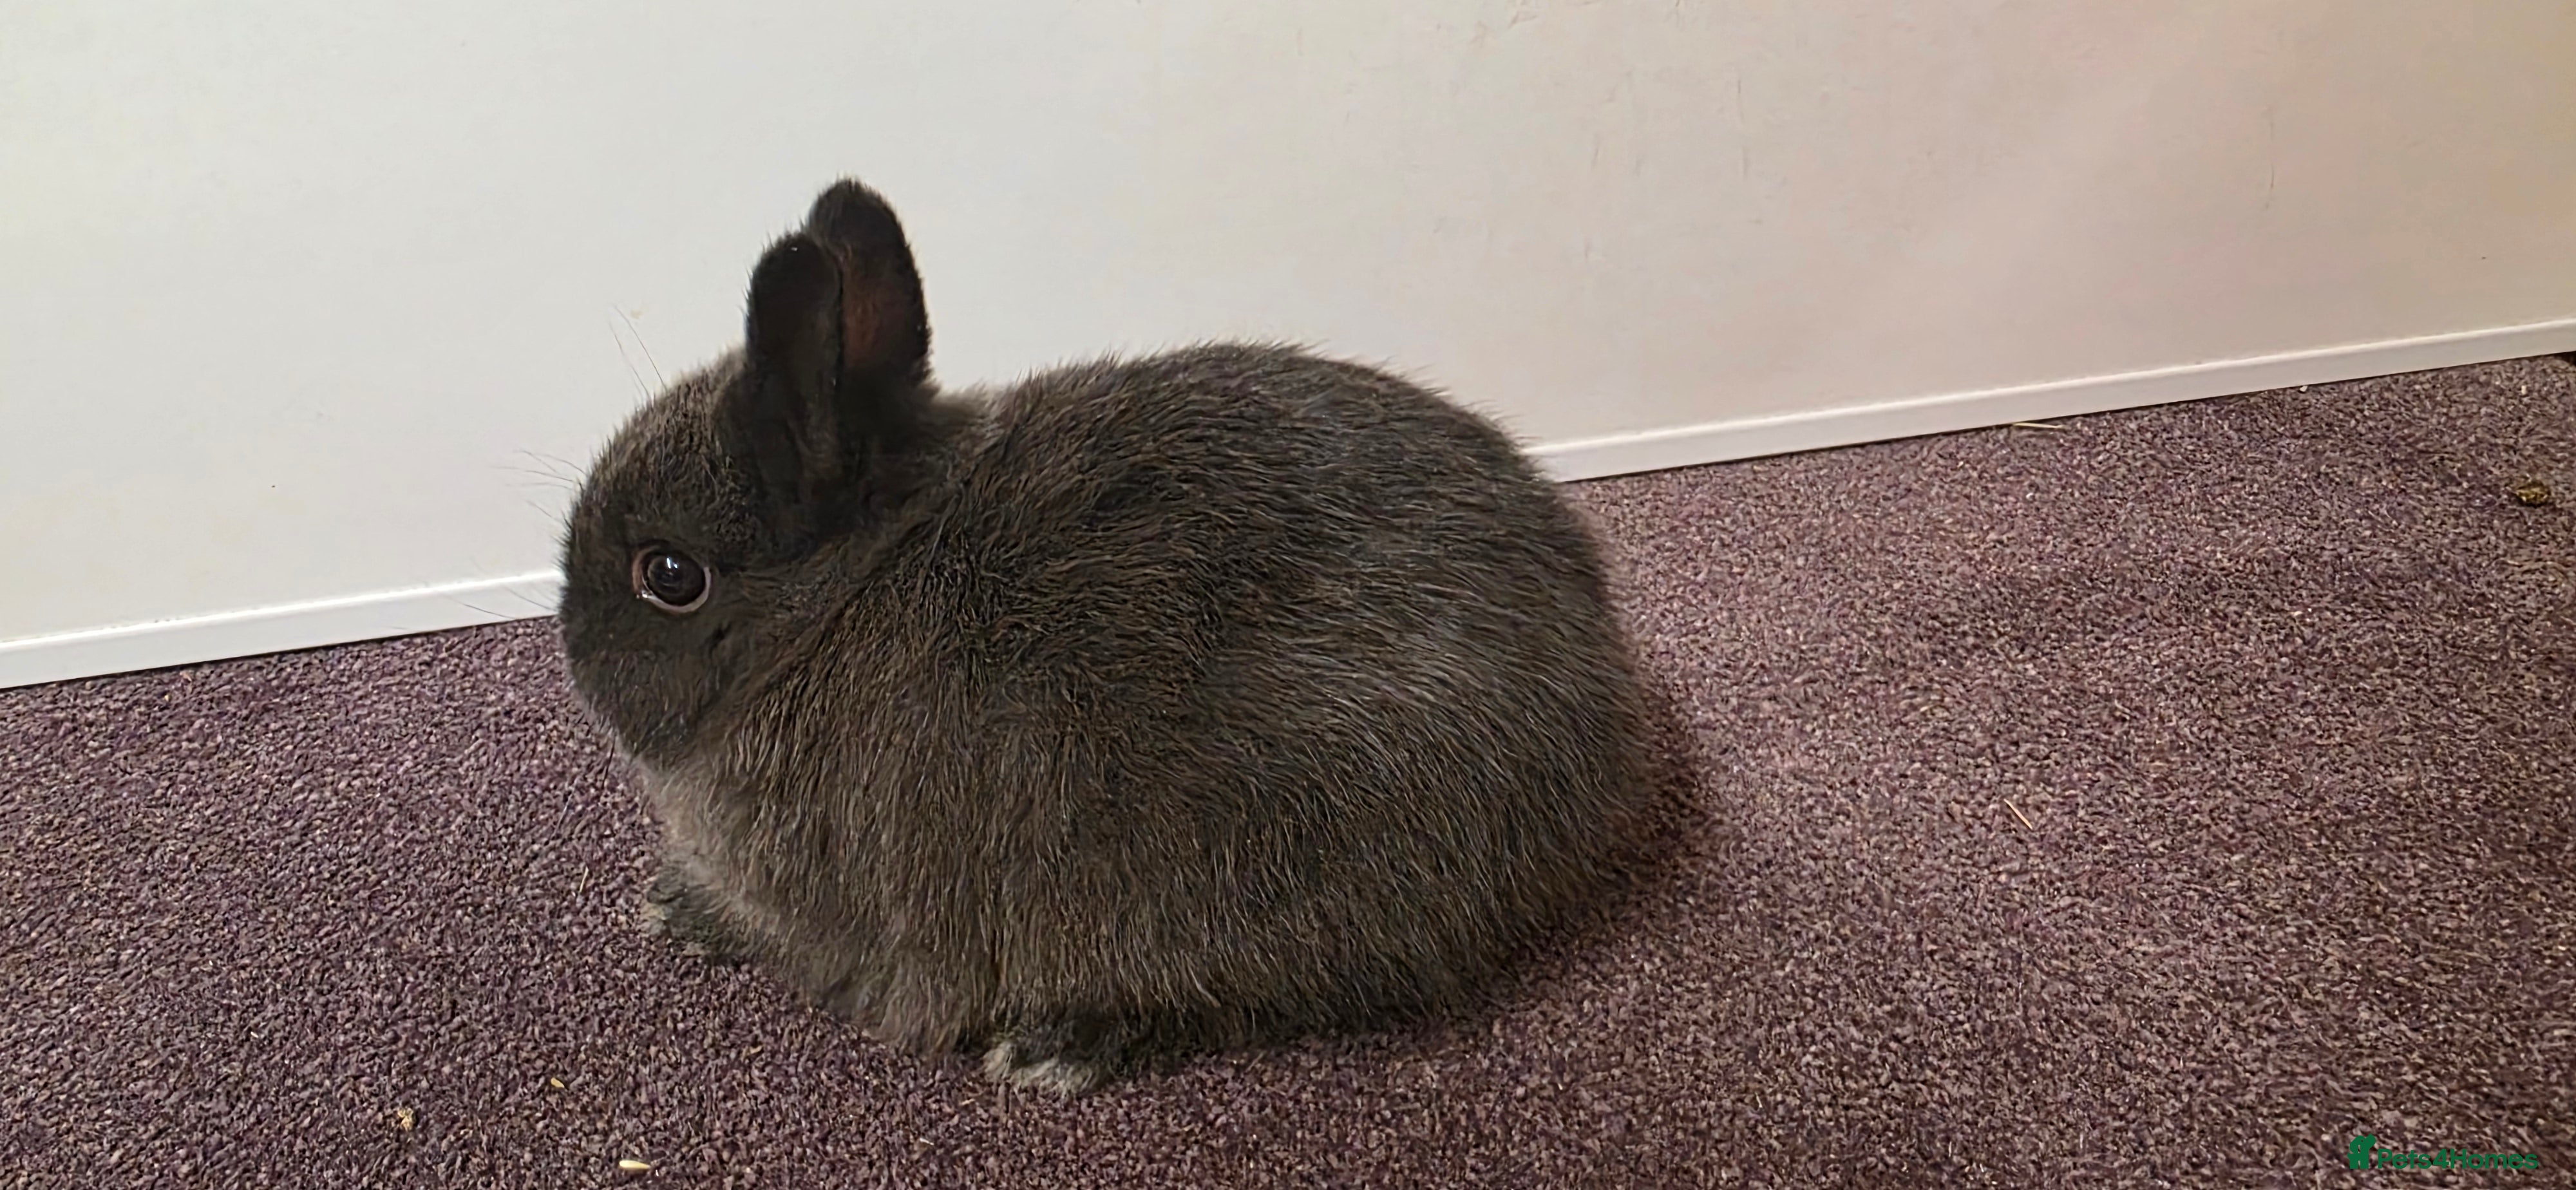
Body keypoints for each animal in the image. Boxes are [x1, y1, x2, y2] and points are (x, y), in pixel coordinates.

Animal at [557, 179, 1658, 1094]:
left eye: (669, 576)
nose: (570, 647)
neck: (839, 599)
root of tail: (1601, 709)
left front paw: (683, 909)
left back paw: (1059, 1045)